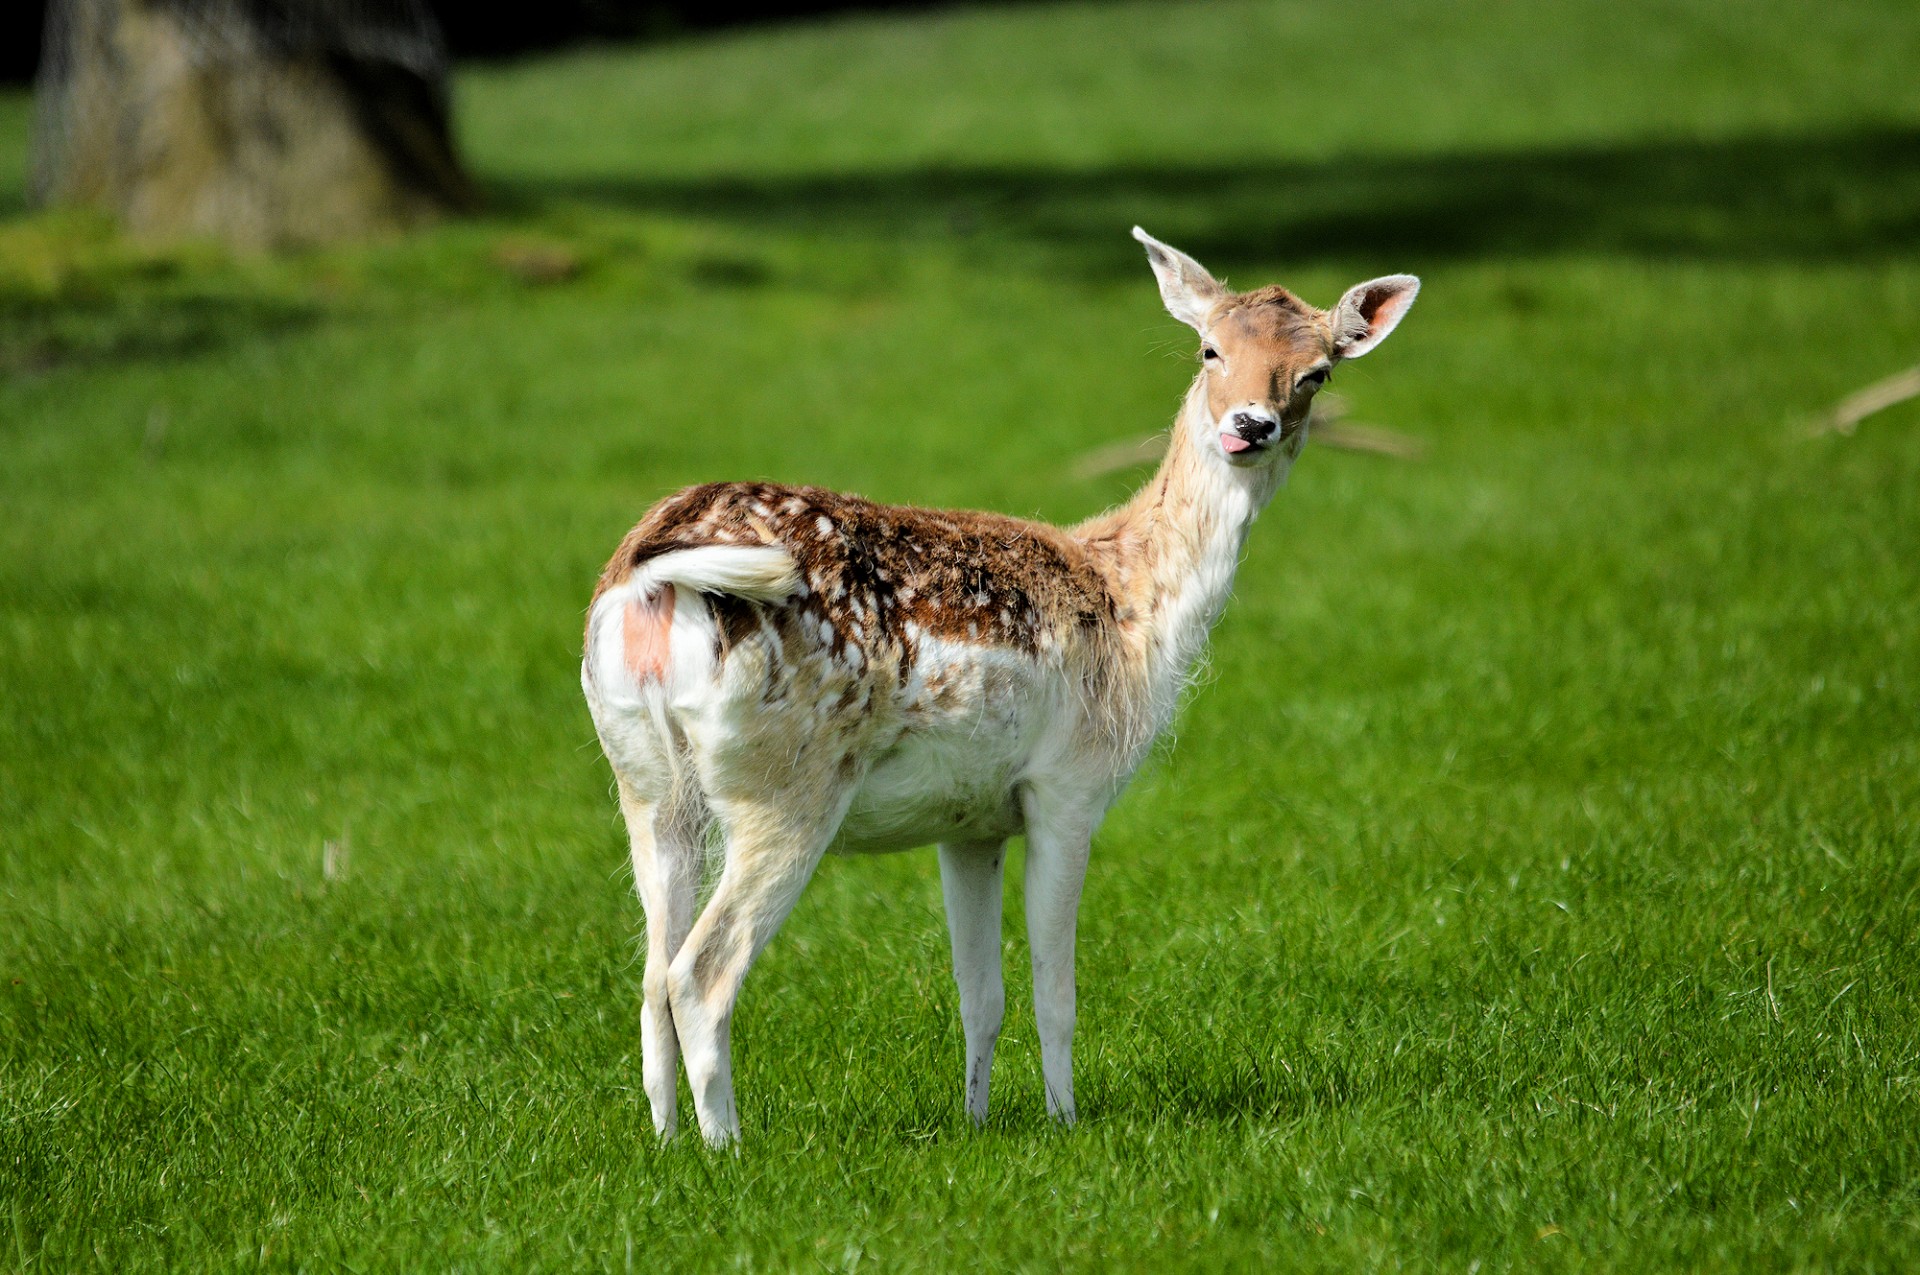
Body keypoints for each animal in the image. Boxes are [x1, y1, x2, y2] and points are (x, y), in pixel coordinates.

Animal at [576, 229, 1420, 1144]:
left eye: (1317, 372)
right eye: (1210, 348)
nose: (1250, 425)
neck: (1130, 606)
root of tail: (649, 579)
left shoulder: (969, 820)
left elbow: (981, 992)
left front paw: (977, 1119)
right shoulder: (1069, 785)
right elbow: (1057, 992)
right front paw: (1066, 1121)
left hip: (645, 778)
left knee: (651, 970)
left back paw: (668, 1141)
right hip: (786, 781)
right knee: (700, 970)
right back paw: (727, 1146)